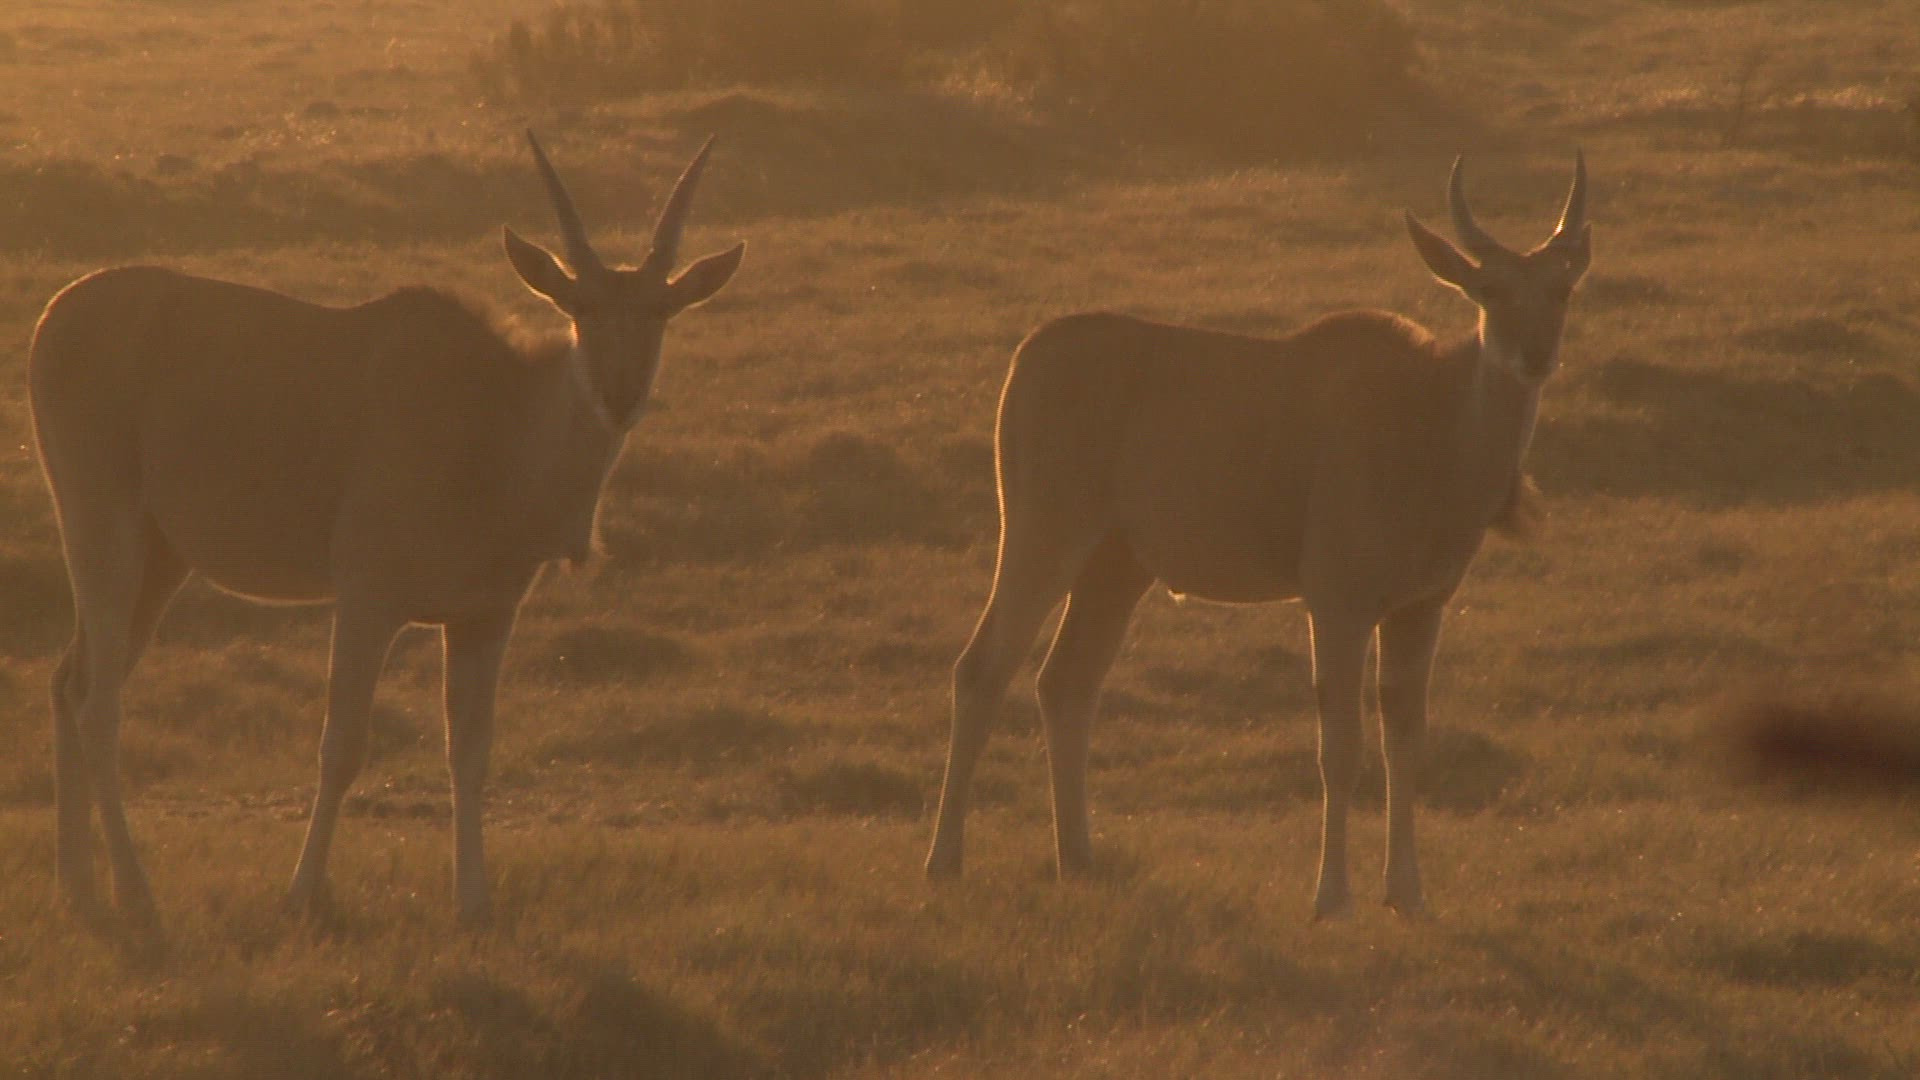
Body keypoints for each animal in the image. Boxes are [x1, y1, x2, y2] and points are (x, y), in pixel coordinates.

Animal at [29, 131, 745, 927]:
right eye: (579, 305)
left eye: (662, 309)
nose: (621, 395)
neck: (496, 422)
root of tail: (53, 320)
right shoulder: (368, 598)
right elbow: (342, 745)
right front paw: (301, 895)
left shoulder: (483, 618)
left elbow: (470, 750)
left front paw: (474, 904)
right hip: (102, 526)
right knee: (97, 702)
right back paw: (136, 893)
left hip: (161, 560)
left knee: (69, 681)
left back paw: (79, 883)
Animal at [925, 154, 1590, 919]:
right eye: (1489, 289)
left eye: (1562, 289)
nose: (1534, 354)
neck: (1432, 429)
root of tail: (1024, 359)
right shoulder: (1336, 600)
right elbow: (1341, 747)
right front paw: (1331, 897)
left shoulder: (1422, 606)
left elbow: (1405, 741)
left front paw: (1407, 893)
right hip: (1043, 531)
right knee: (981, 667)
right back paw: (944, 861)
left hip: (1117, 565)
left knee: (1066, 681)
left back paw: (1079, 860)